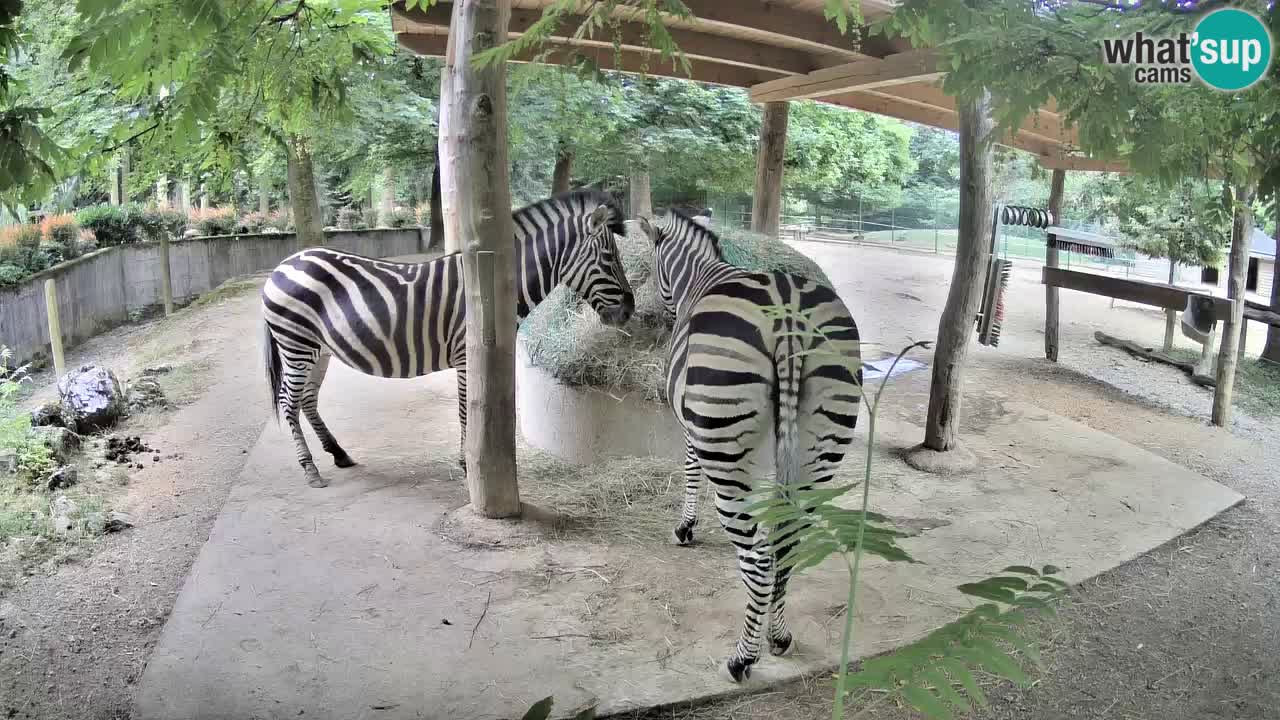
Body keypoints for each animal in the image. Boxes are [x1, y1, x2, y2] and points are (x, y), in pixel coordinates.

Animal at [261, 190, 635, 488]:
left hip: (318, 350)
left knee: (308, 400)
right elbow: (465, 410)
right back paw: (310, 469)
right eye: (609, 258)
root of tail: (283, 264)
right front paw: (468, 464)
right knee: (288, 402)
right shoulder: (467, 353)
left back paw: (339, 454)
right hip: (296, 345)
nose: (630, 310)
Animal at [635, 210, 862, 682]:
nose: (658, 313)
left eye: (653, 265)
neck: (701, 275)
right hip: (821, 446)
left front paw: (685, 527)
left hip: (726, 452)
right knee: (788, 544)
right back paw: (778, 636)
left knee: (758, 559)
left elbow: (689, 470)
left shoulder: (692, 426)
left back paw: (743, 657)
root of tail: (788, 315)